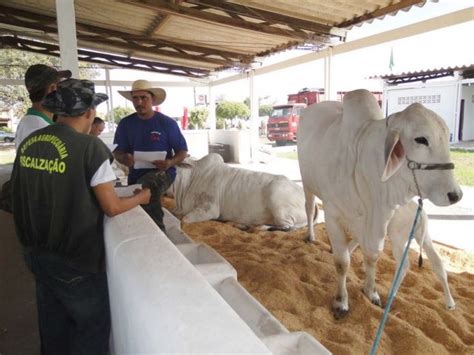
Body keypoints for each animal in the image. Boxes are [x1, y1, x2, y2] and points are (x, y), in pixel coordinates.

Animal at [298, 89, 462, 320]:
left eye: (447, 137)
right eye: (421, 139)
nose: (455, 195)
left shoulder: (380, 220)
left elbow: (372, 256)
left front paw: (371, 291)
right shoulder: (333, 213)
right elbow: (342, 262)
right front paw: (341, 302)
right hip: (307, 183)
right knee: (309, 207)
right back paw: (311, 236)